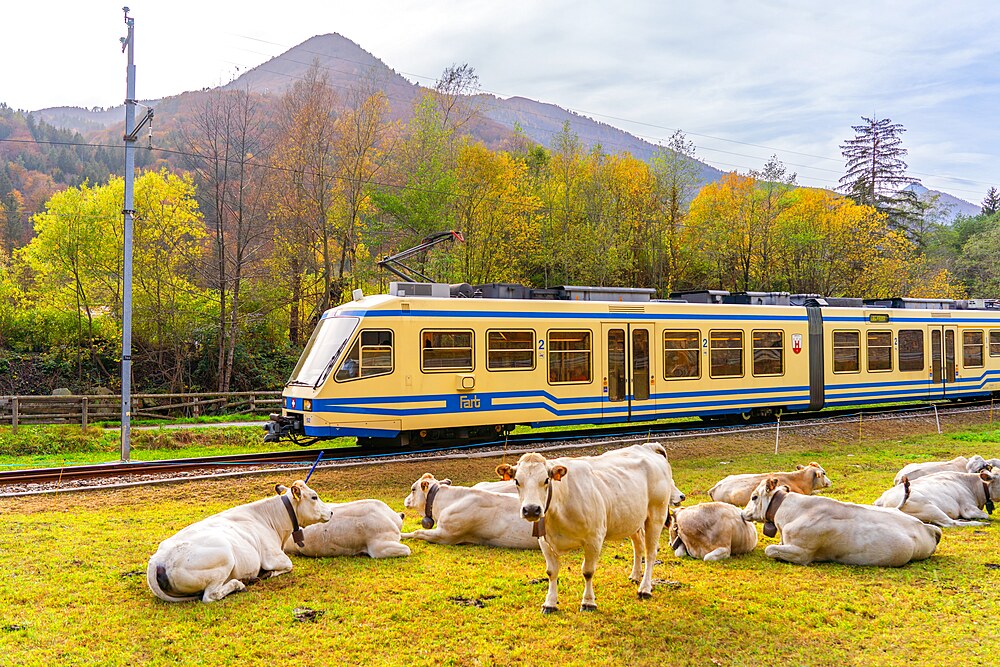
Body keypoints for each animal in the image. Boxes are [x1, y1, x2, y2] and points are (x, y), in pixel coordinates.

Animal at [146, 480, 332, 604]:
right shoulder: (272, 556)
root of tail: (158, 559)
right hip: (225, 557)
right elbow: (288, 565)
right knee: (210, 596)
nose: (330, 512)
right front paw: (267, 574)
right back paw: (239, 584)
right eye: (314, 497)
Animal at [498, 444, 676, 616]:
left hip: (656, 514)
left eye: (546, 480)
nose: (531, 509)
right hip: (632, 518)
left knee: (650, 552)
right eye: (516, 481)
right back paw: (635, 576)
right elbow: (551, 572)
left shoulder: (594, 538)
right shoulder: (544, 541)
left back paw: (645, 589)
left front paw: (588, 602)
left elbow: (588, 571)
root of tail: (648, 446)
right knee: (638, 546)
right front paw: (549, 603)